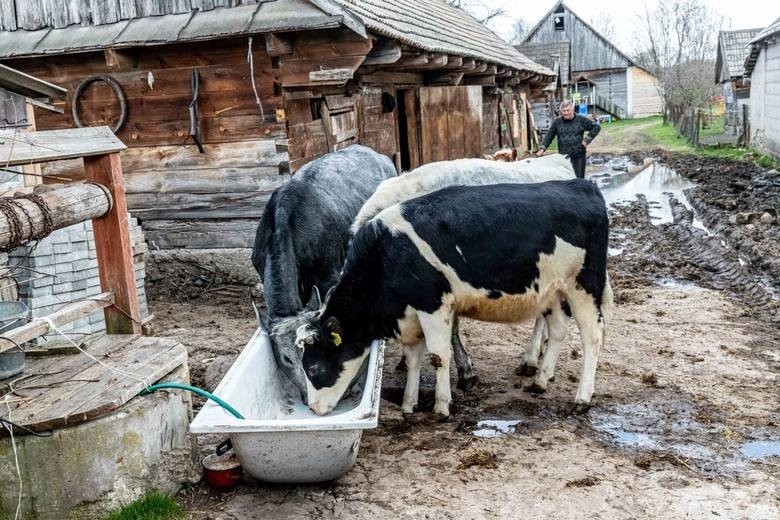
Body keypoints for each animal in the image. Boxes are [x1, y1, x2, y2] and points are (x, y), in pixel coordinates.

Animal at [296, 181, 612, 416]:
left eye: (312, 367)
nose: (312, 408)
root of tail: (582, 185)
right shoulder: (409, 316)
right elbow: (412, 359)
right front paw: (409, 403)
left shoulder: (433, 305)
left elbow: (438, 355)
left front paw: (441, 406)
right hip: (553, 290)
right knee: (557, 330)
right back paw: (541, 380)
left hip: (584, 284)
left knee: (592, 335)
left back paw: (582, 399)